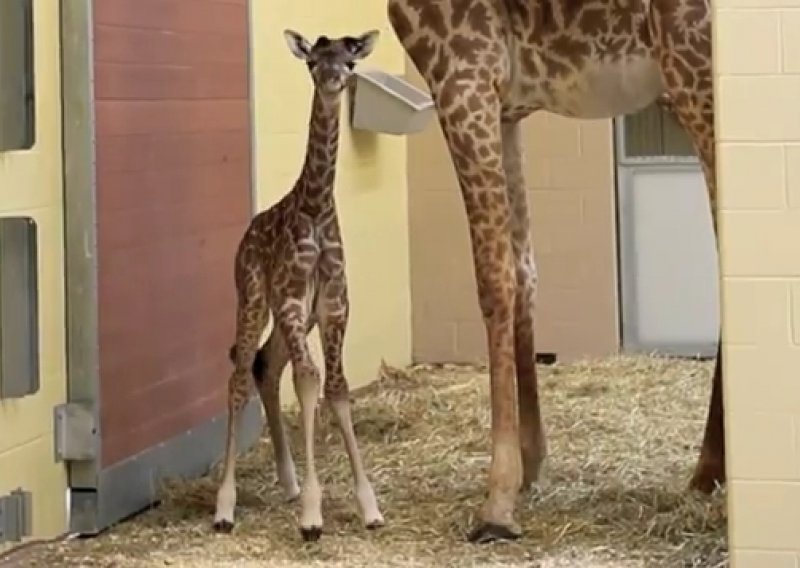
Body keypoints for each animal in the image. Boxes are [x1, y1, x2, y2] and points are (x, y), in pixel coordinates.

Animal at [212, 30, 384, 540]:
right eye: (312, 61)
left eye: (350, 60)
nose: (332, 79)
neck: (316, 207)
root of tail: (245, 236)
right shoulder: (290, 297)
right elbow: (310, 381)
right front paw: (312, 514)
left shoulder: (333, 304)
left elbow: (338, 387)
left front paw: (368, 507)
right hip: (252, 297)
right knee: (238, 374)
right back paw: (225, 506)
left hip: (297, 319)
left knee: (265, 365)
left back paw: (287, 482)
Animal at [384, 0, 720, 544]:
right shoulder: (507, 106)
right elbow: (525, 271)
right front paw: (530, 463)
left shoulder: (463, 77)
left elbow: (493, 278)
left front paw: (497, 502)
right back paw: (707, 475)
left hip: (695, 78)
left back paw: (709, 469)